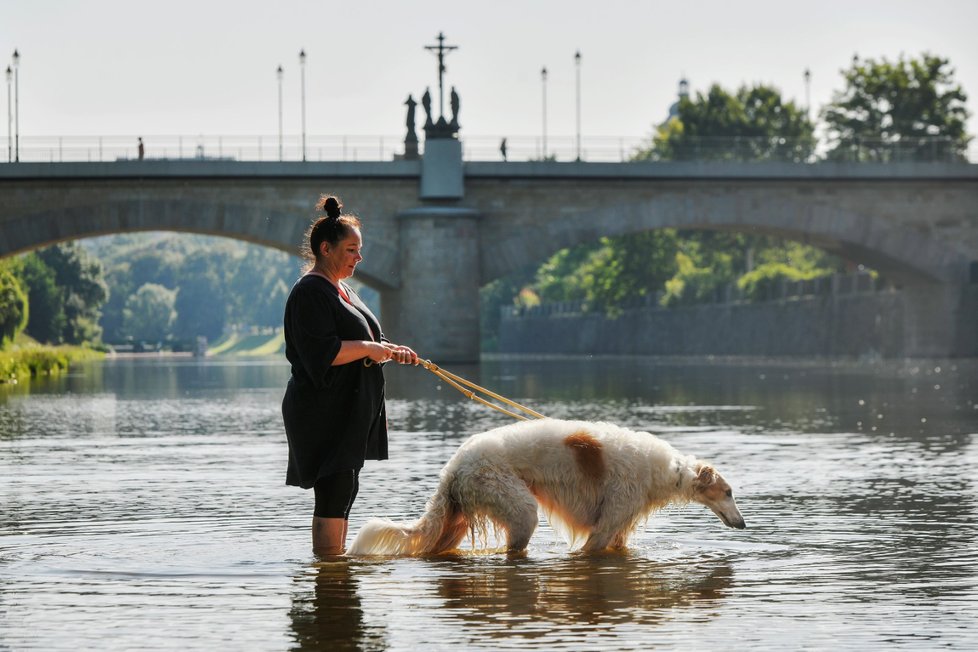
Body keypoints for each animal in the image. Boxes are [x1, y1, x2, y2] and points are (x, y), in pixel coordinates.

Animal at [346, 418, 744, 556]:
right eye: (728, 493)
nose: (742, 525)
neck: (666, 470)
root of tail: (454, 467)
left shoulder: (618, 531)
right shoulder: (604, 527)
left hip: (456, 520)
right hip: (516, 506)